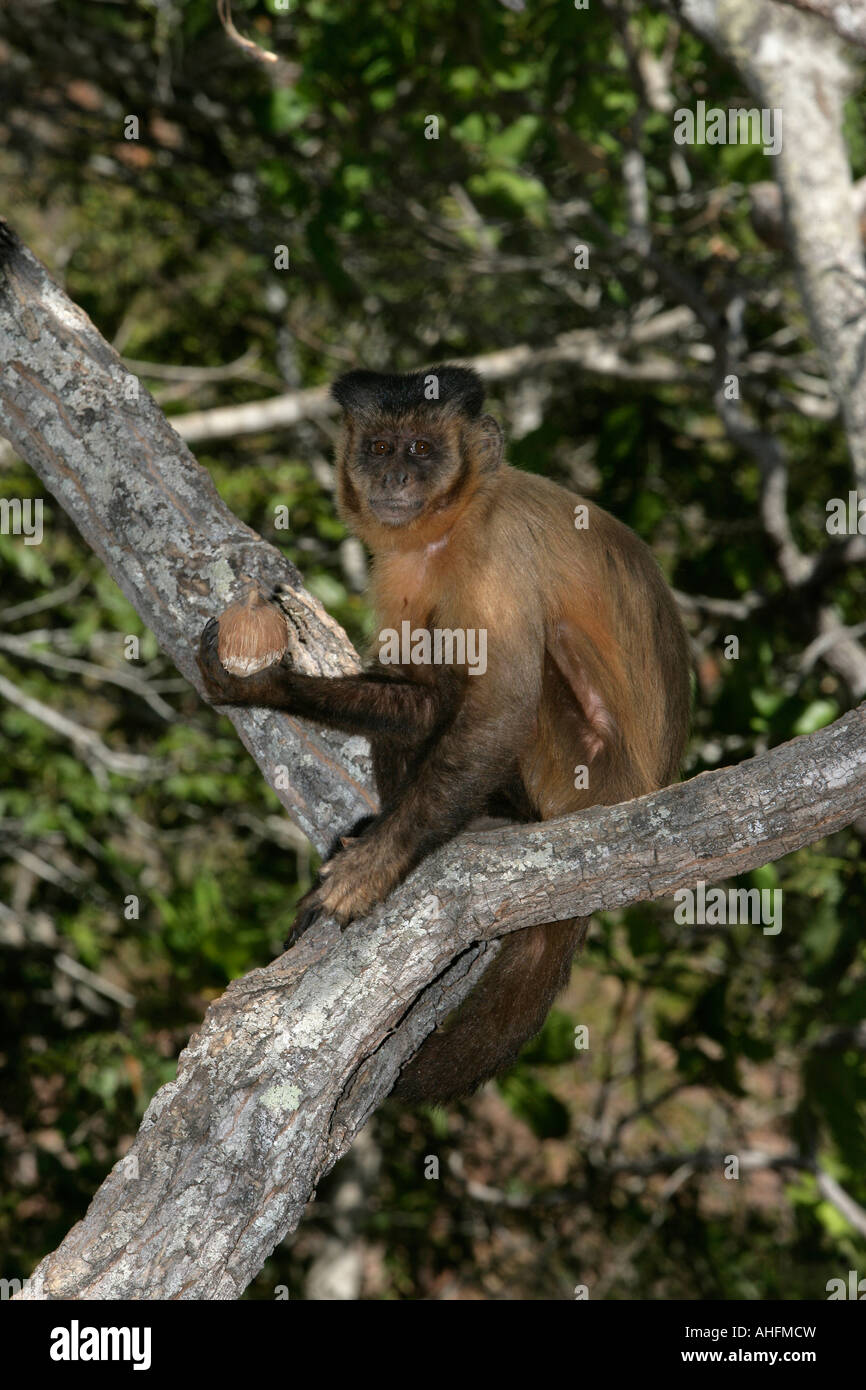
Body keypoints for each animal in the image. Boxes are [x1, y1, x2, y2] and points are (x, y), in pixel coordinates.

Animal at [195, 369, 692, 1106]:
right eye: (379, 446)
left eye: (422, 450)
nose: (395, 475)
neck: (452, 524)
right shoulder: (402, 563)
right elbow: (422, 699)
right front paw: (265, 687)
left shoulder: (497, 549)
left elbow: (501, 707)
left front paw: (377, 864)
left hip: (588, 774)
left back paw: (490, 820)